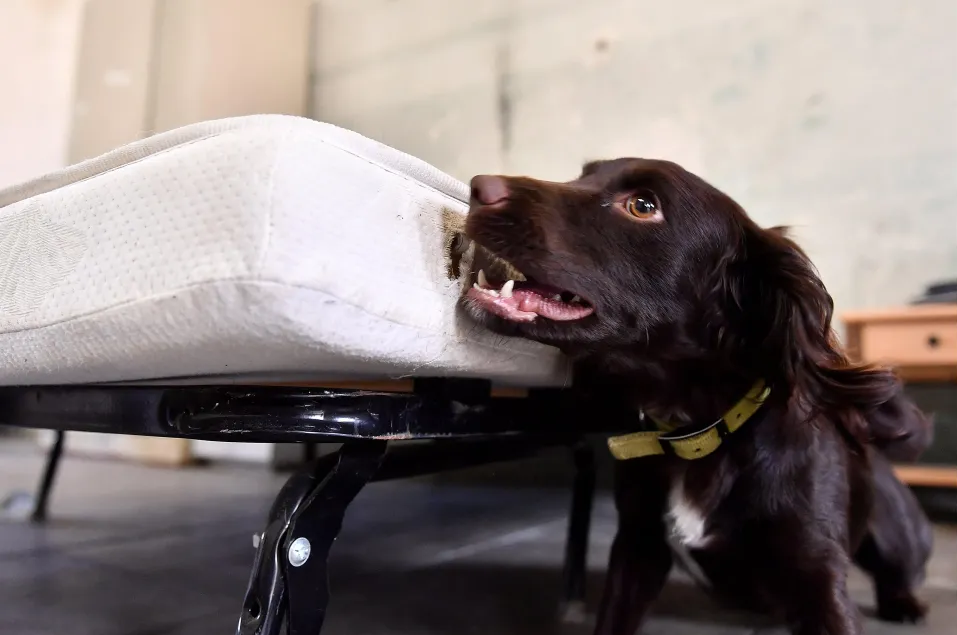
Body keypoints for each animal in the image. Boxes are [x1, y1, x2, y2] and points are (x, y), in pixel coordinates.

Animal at [460, 160, 928, 635]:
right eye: (582, 175)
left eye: (643, 205)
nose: (478, 188)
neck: (698, 432)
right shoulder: (638, 547)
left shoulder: (819, 575)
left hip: (895, 532)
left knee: (899, 571)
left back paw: (905, 603)